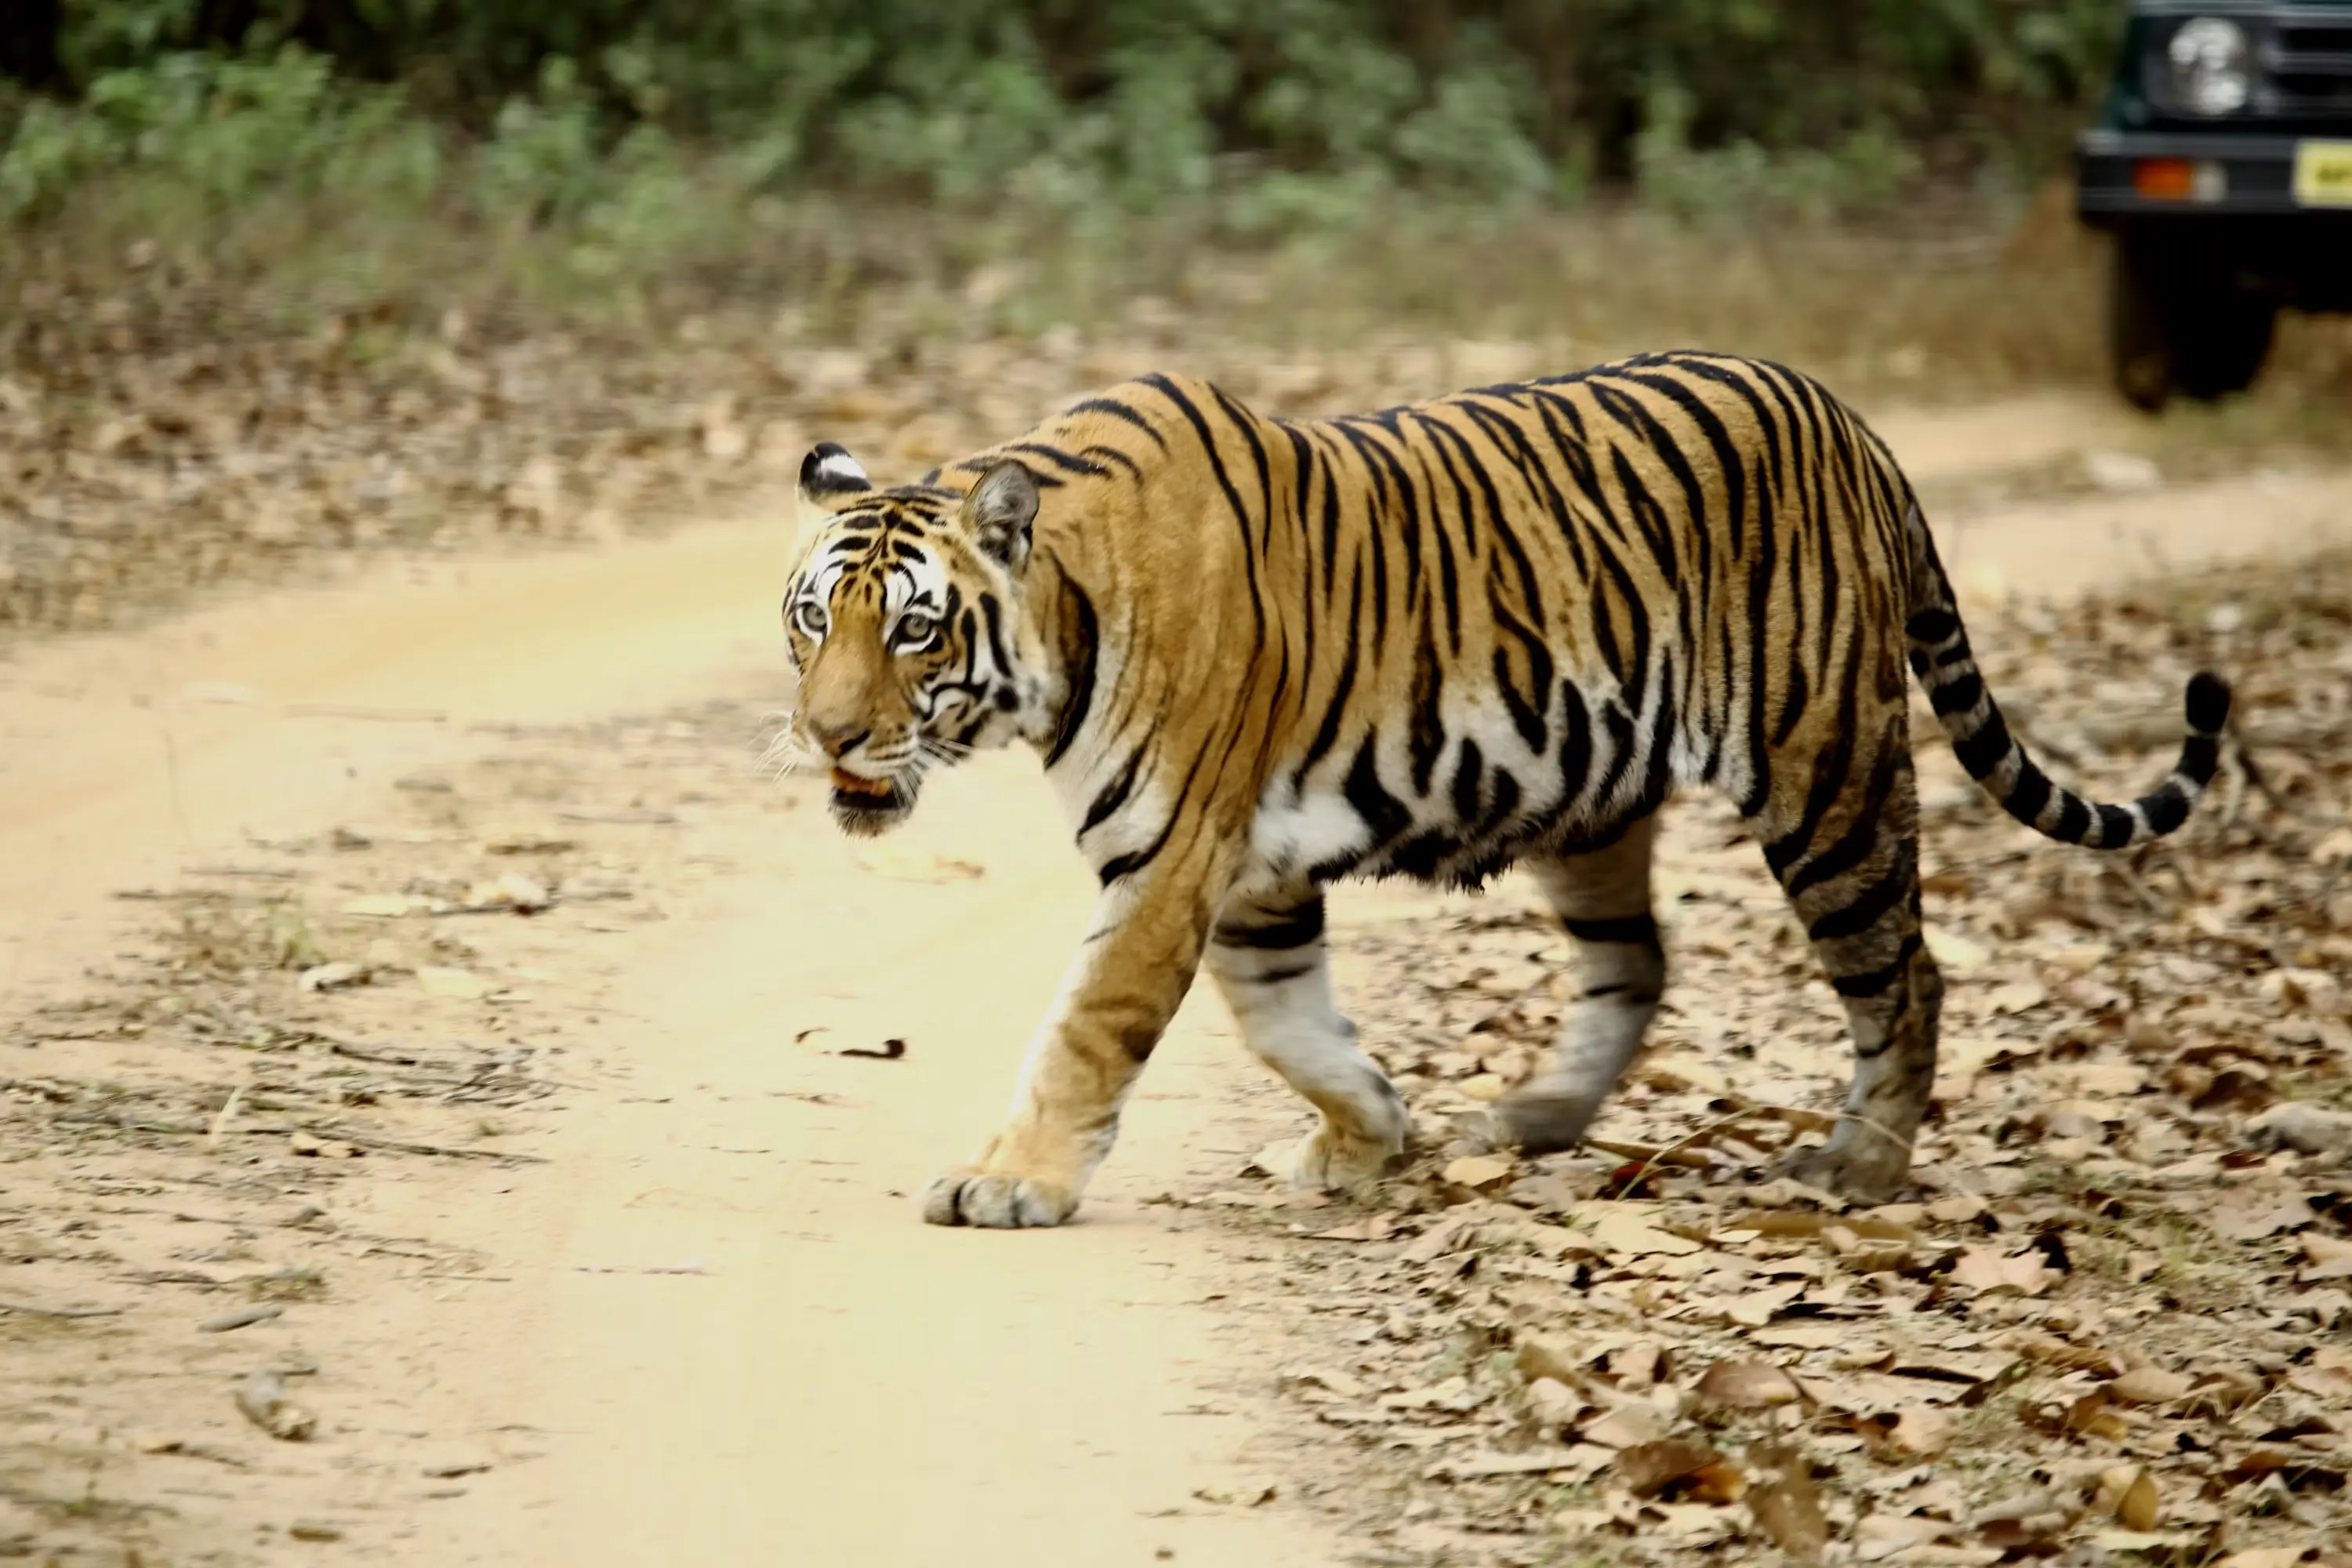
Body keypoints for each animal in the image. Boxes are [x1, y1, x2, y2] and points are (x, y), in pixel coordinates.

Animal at [777, 350, 2231, 1229]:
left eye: (914, 632)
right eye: (809, 620)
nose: (826, 735)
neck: (1064, 627)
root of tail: (1851, 420)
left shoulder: (1173, 857)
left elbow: (1088, 1030)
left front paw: (1009, 1183)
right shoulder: (1250, 873)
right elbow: (1290, 1024)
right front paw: (1370, 1138)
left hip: (1828, 775)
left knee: (1907, 972)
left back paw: (1859, 1165)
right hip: (1593, 795)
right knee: (1638, 961)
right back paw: (1532, 1118)